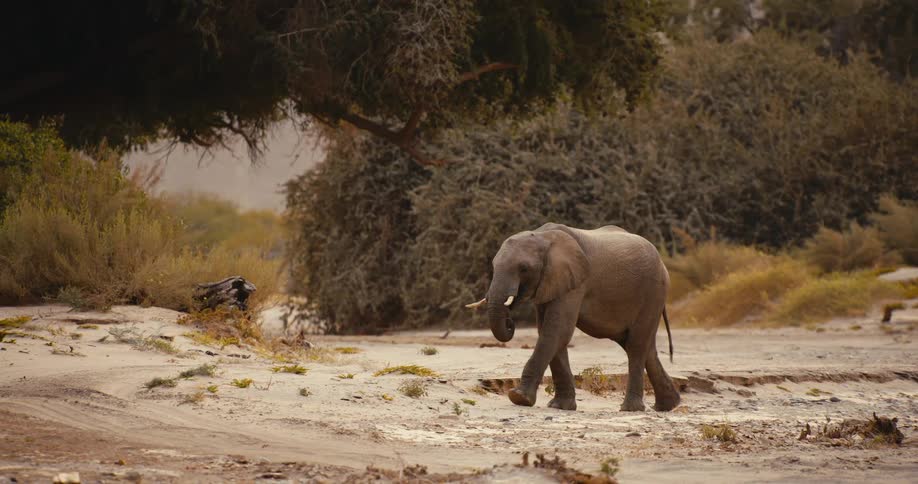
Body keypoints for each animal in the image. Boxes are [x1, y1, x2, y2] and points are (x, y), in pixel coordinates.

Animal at [465, 223, 679, 412]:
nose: (510, 323)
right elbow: (550, 333)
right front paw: (560, 406)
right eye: (494, 265)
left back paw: (631, 409)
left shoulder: (575, 282)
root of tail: (663, 264)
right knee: (644, 347)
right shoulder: (551, 283)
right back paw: (669, 405)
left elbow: (557, 331)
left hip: (654, 292)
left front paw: (519, 398)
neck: (543, 236)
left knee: (636, 346)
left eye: (524, 268)